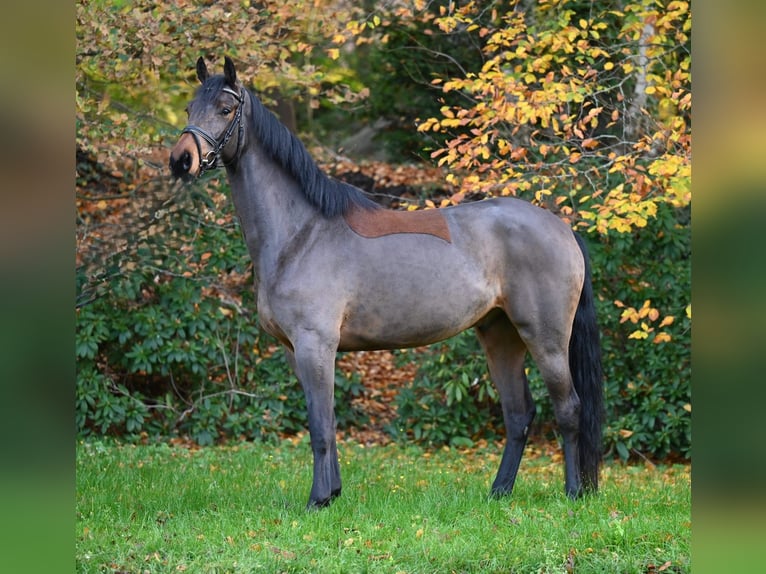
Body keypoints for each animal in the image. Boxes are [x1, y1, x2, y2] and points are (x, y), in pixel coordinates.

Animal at [170, 57, 604, 509]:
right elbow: (328, 422)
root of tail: (563, 229)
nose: (181, 160)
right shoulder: (296, 350)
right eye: (189, 108)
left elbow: (319, 427)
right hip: (500, 335)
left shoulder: (314, 345)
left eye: (225, 109)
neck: (300, 234)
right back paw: (498, 493)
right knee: (519, 413)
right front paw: (333, 494)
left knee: (569, 409)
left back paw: (573, 493)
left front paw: (317, 500)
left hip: (545, 338)